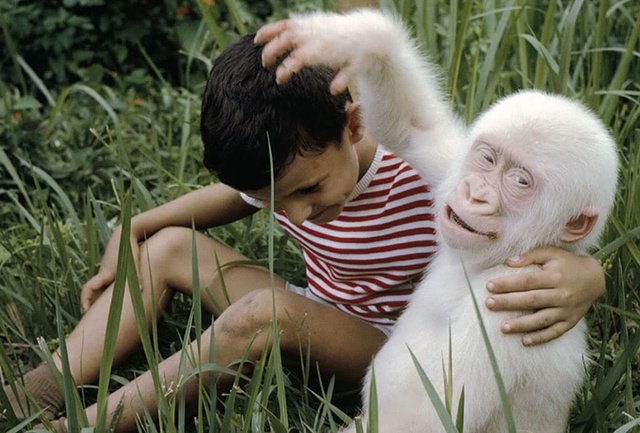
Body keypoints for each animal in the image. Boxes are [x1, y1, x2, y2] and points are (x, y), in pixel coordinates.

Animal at [255, 8, 620, 432]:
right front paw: (349, 39)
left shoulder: (507, 313)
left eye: (520, 181)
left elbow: (426, 418)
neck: (488, 264)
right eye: (487, 158)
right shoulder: (451, 163)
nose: (477, 192)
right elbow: (413, 127)